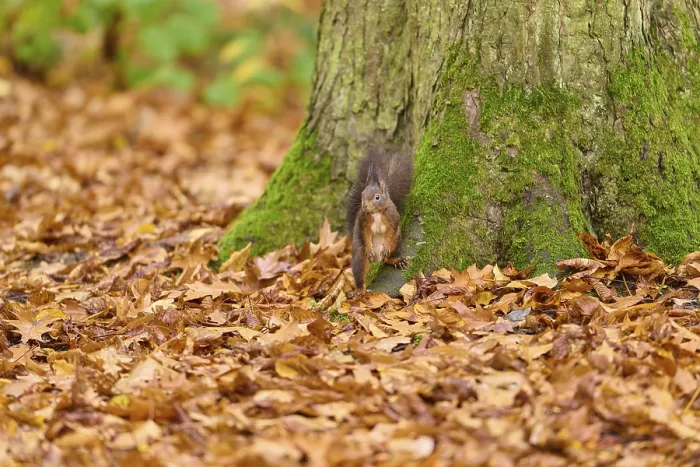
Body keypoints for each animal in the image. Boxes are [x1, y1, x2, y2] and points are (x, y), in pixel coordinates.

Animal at [345, 146, 413, 291]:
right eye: (362, 194)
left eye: (377, 197)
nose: (364, 205)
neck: (376, 213)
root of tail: (377, 259)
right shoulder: (363, 221)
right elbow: (366, 233)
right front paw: (370, 249)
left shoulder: (393, 219)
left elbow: (390, 231)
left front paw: (386, 246)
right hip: (360, 254)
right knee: (360, 270)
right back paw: (361, 289)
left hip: (396, 242)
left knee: (386, 258)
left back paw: (396, 260)